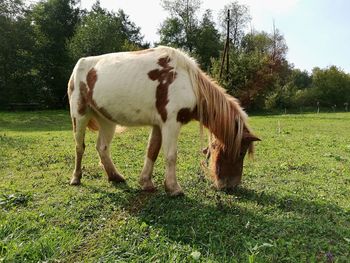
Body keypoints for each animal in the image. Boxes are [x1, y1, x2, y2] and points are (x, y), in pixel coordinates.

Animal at [67, 46, 260, 197]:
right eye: (241, 152)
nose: (231, 185)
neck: (188, 82)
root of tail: (78, 65)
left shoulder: (159, 125)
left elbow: (152, 151)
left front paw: (146, 182)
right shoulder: (171, 123)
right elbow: (171, 155)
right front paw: (173, 188)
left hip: (107, 120)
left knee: (102, 147)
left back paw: (115, 176)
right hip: (80, 115)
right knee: (79, 147)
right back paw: (76, 177)